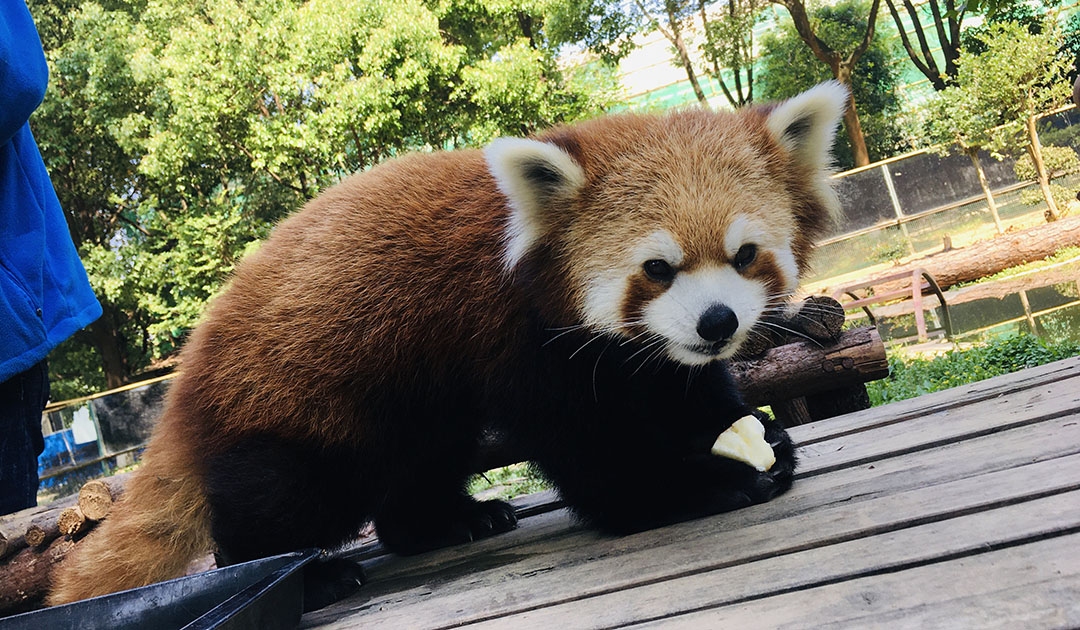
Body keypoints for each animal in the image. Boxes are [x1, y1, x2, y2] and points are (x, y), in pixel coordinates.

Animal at [48, 82, 842, 605]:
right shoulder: (515, 337)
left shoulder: (635, 353)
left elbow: (680, 388)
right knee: (282, 496)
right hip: (288, 404)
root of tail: (188, 370)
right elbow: (591, 446)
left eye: (745, 255)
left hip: (410, 406)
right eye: (656, 268)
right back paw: (305, 572)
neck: (530, 252)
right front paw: (693, 484)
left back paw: (446, 520)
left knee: (421, 458)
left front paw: (753, 437)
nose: (717, 323)